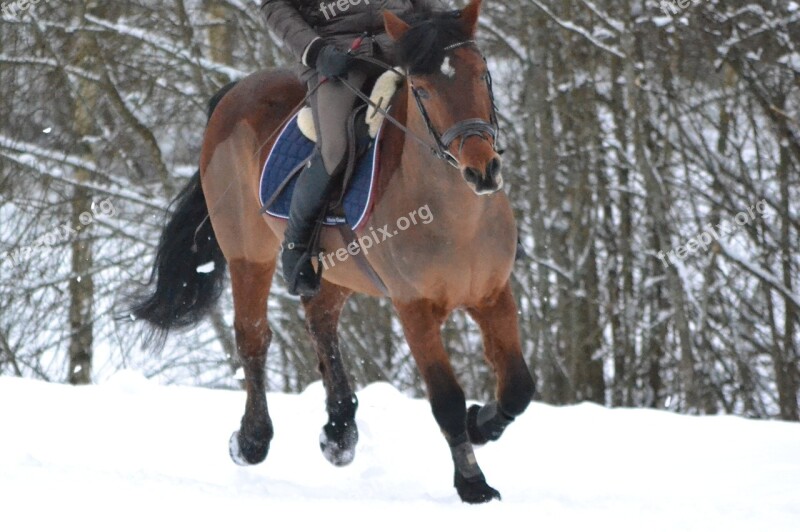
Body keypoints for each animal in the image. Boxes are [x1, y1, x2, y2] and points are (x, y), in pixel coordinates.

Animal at [134, 0, 536, 504]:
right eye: (422, 89)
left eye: (482, 74)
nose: (482, 170)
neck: (457, 215)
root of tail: (233, 94)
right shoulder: (415, 309)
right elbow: (445, 399)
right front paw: (473, 484)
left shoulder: (492, 295)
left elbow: (518, 386)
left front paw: (480, 425)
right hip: (249, 254)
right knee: (252, 336)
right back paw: (252, 440)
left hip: (337, 269)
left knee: (320, 321)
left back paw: (340, 432)